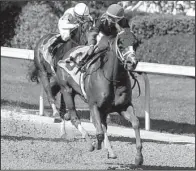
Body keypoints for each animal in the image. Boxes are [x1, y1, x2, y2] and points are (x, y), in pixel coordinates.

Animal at [56, 28, 143, 166]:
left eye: (135, 44)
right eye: (120, 44)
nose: (132, 63)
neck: (113, 79)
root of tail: (67, 55)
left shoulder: (123, 106)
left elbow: (135, 123)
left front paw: (139, 157)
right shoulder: (94, 106)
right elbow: (100, 132)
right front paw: (97, 145)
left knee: (101, 124)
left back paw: (110, 152)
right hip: (67, 90)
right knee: (74, 118)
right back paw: (90, 144)